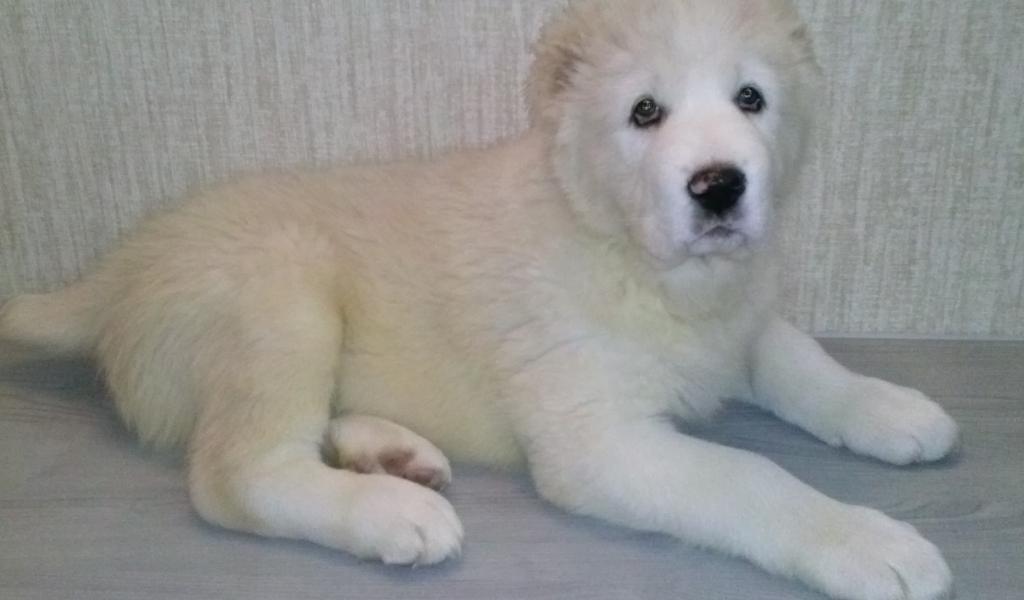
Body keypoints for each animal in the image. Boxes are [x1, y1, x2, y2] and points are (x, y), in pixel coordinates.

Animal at [0, 1, 958, 598]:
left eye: (751, 97)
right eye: (645, 112)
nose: (719, 186)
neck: (633, 256)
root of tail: (116, 270)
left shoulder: (741, 322)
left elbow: (804, 359)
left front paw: (893, 408)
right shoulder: (597, 440)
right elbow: (749, 476)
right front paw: (868, 542)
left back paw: (393, 451)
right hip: (280, 295)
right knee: (235, 472)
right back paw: (392, 511)